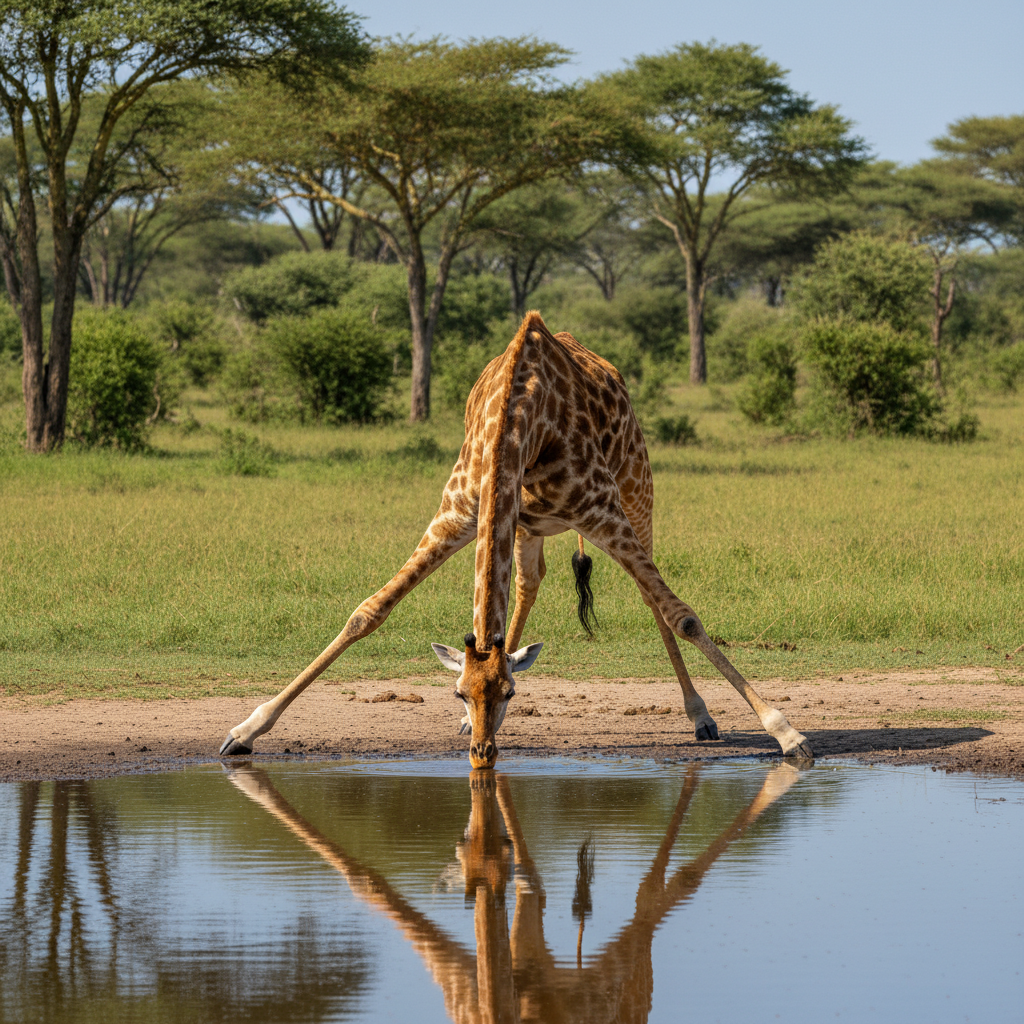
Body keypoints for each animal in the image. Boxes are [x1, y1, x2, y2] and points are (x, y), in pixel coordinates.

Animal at [219, 310, 812, 768]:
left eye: (511, 693)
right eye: (459, 691)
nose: (483, 754)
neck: (520, 419)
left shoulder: (601, 511)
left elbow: (683, 615)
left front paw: (787, 733)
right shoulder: (459, 514)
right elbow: (367, 612)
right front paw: (244, 731)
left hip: (637, 492)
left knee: (652, 600)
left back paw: (700, 717)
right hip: (525, 526)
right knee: (529, 583)